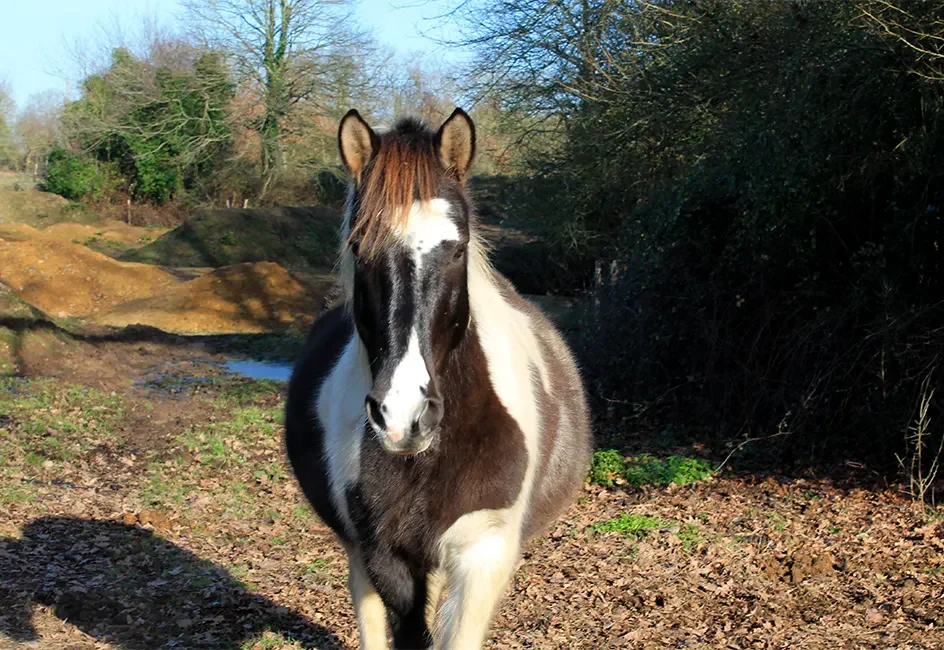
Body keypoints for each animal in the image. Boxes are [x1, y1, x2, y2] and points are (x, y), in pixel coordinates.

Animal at [284, 108, 592, 650]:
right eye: (358, 247)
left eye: (457, 249)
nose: (402, 416)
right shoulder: (386, 555)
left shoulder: (483, 555)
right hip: (361, 554)